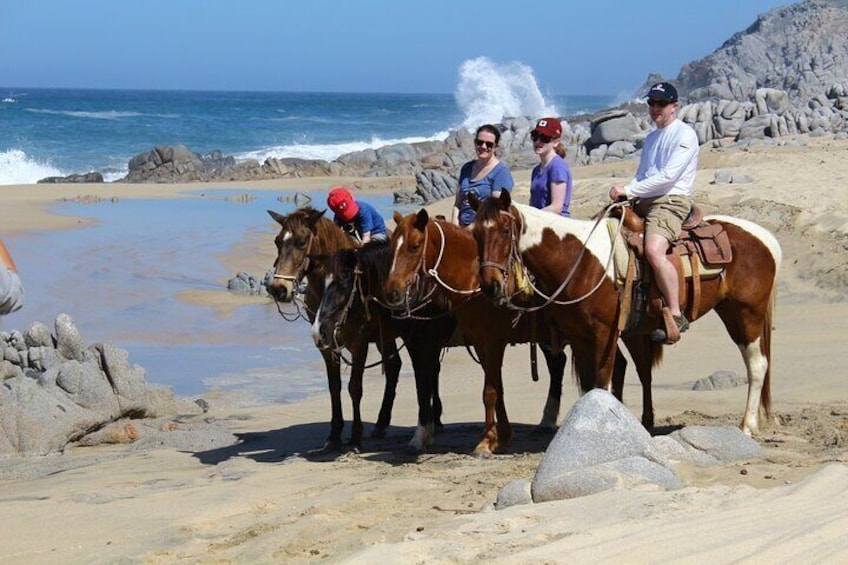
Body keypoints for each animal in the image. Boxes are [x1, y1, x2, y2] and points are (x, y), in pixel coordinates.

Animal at [268, 207, 408, 450]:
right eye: (277, 241)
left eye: (302, 242)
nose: (278, 288)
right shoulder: (325, 343)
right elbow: (334, 386)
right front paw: (334, 434)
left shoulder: (359, 343)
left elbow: (355, 387)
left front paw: (355, 437)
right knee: (393, 367)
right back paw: (381, 423)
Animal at [310, 240, 458, 452]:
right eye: (322, 284)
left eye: (344, 282)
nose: (318, 332)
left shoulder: (374, 342)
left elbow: (357, 387)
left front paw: (356, 439)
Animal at [380, 209, 628, 456]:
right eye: (391, 249)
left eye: (414, 246)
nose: (392, 293)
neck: (474, 281)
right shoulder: (480, 343)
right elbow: (495, 388)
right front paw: (502, 436)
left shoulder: (487, 342)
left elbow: (487, 391)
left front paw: (485, 442)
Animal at [474, 192, 780, 434]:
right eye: (476, 233)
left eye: (504, 230)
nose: (491, 285)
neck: (579, 260)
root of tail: (766, 237)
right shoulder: (579, 337)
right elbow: (590, 385)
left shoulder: (605, 334)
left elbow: (603, 381)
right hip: (730, 312)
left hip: (747, 313)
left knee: (757, 365)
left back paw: (747, 426)